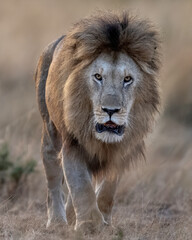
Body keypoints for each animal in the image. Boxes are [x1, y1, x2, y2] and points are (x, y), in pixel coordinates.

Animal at [34, 11, 160, 232]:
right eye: (98, 76)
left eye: (127, 79)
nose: (110, 110)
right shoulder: (72, 143)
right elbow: (81, 186)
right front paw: (89, 225)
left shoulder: (122, 151)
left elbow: (107, 189)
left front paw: (103, 221)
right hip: (50, 133)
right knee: (53, 179)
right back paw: (57, 221)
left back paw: (70, 216)